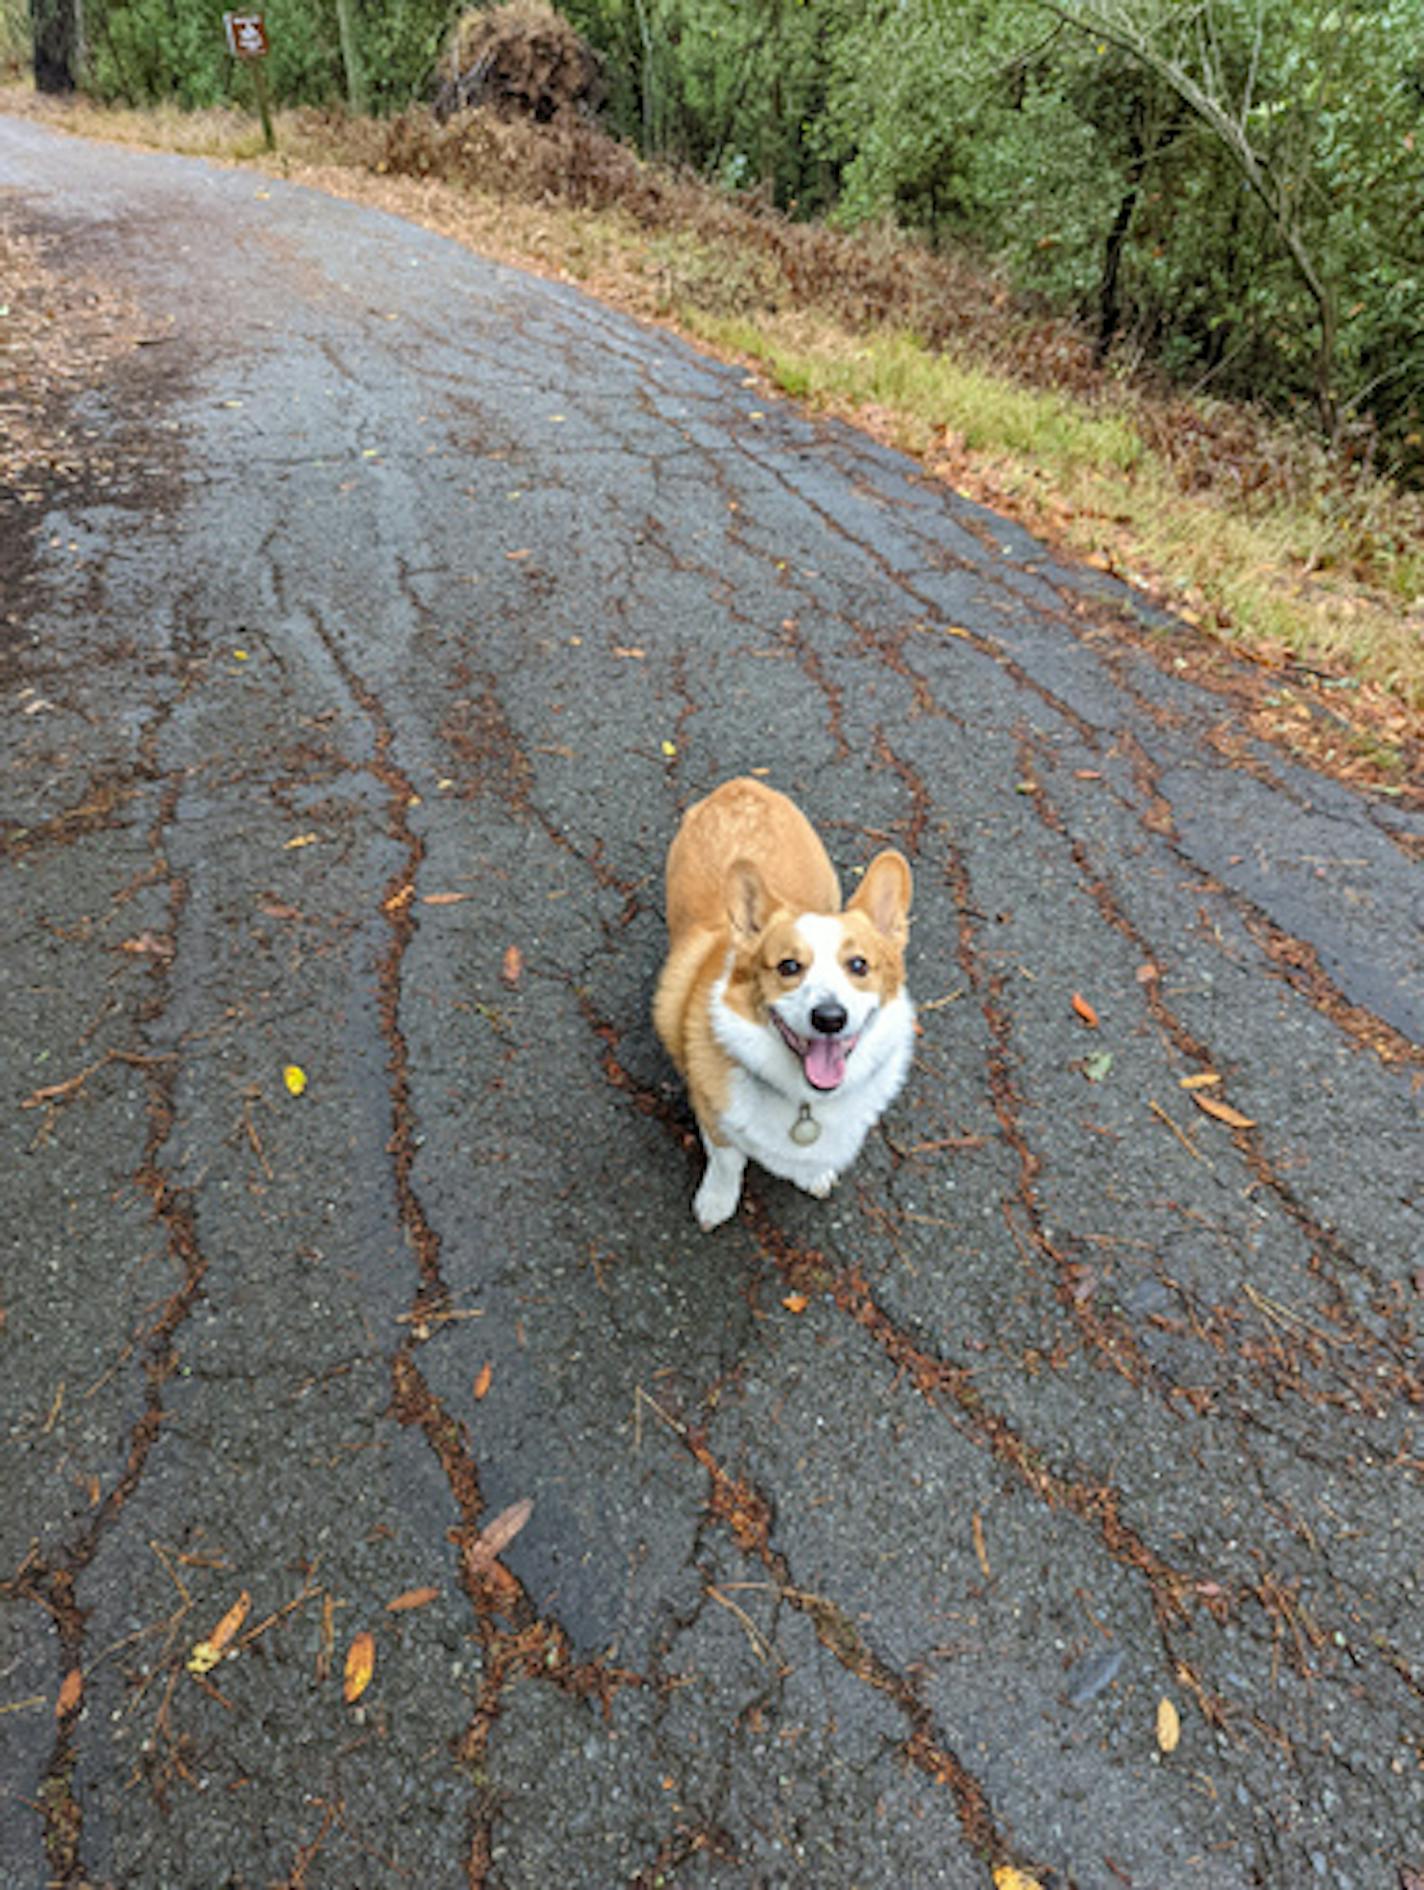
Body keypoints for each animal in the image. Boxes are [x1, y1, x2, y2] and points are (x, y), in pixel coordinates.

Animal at [654, 774, 911, 1232]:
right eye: (788, 966)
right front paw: (716, 1202)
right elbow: (727, 1162)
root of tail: (741, 786)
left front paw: (814, 1175)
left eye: (859, 965)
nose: (830, 1018)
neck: (806, 1102)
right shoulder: (714, 1118)